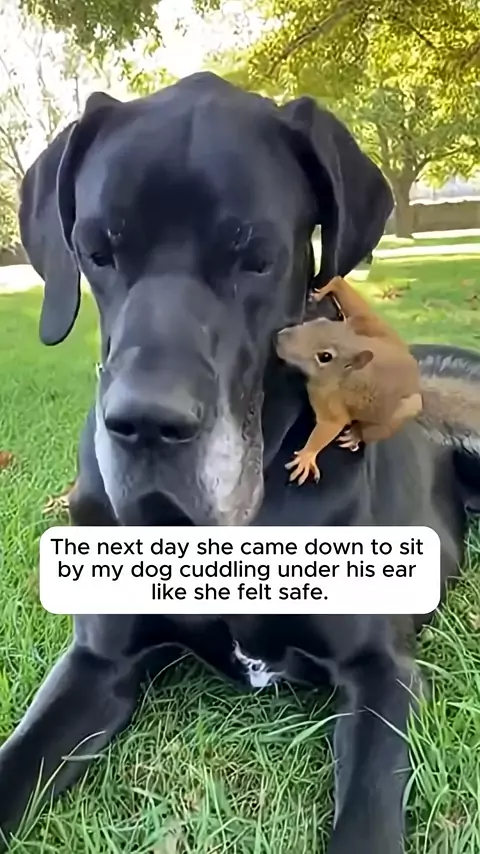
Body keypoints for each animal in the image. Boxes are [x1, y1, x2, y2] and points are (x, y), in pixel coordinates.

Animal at [0, 72, 479, 854]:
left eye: (255, 258)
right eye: (98, 251)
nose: (147, 424)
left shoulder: (381, 673)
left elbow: (367, 815)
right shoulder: (98, 663)